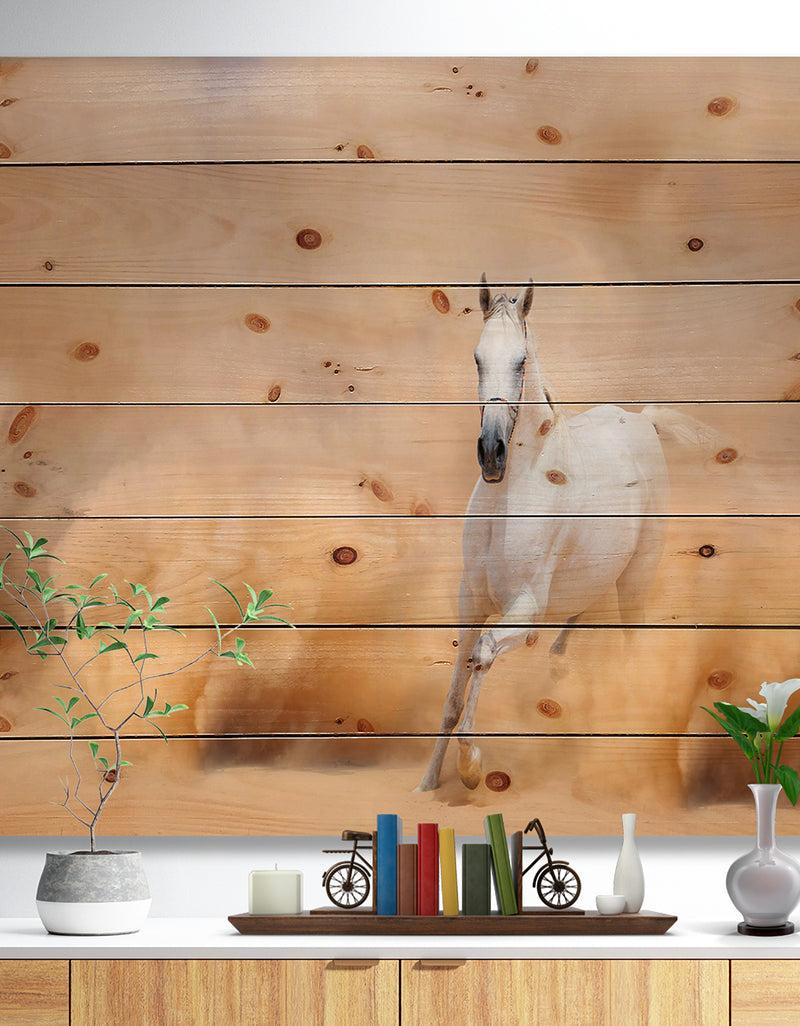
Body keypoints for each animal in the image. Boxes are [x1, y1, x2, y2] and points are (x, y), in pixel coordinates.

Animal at [417, 275, 716, 792]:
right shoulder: (470, 601)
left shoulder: (526, 609)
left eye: (521, 361)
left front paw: (471, 767)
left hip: (635, 583)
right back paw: (558, 667)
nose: (491, 453)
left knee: (631, 647)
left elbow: (484, 653)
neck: (511, 495)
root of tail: (643, 419)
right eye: (477, 358)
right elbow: (454, 693)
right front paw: (428, 783)